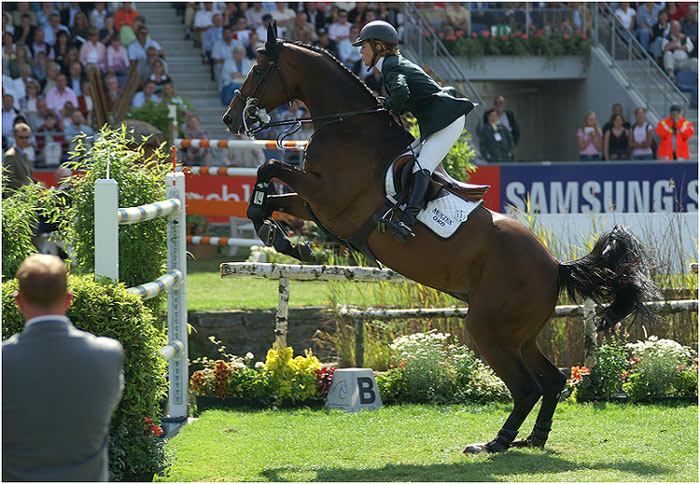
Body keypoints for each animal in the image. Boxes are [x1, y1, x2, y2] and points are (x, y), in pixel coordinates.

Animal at [221, 26, 660, 454]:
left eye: (258, 69)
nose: (229, 118)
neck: (347, 125)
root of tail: (555, 266)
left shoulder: (327, 196)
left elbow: (268, 166)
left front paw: (280, 234)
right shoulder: (316, 204)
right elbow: (270, 199)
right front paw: (285, 240)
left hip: (488, 329)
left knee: (525, 387)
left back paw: (495, 443)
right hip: (519, 333)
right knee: (551, 380)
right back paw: (533, 438)